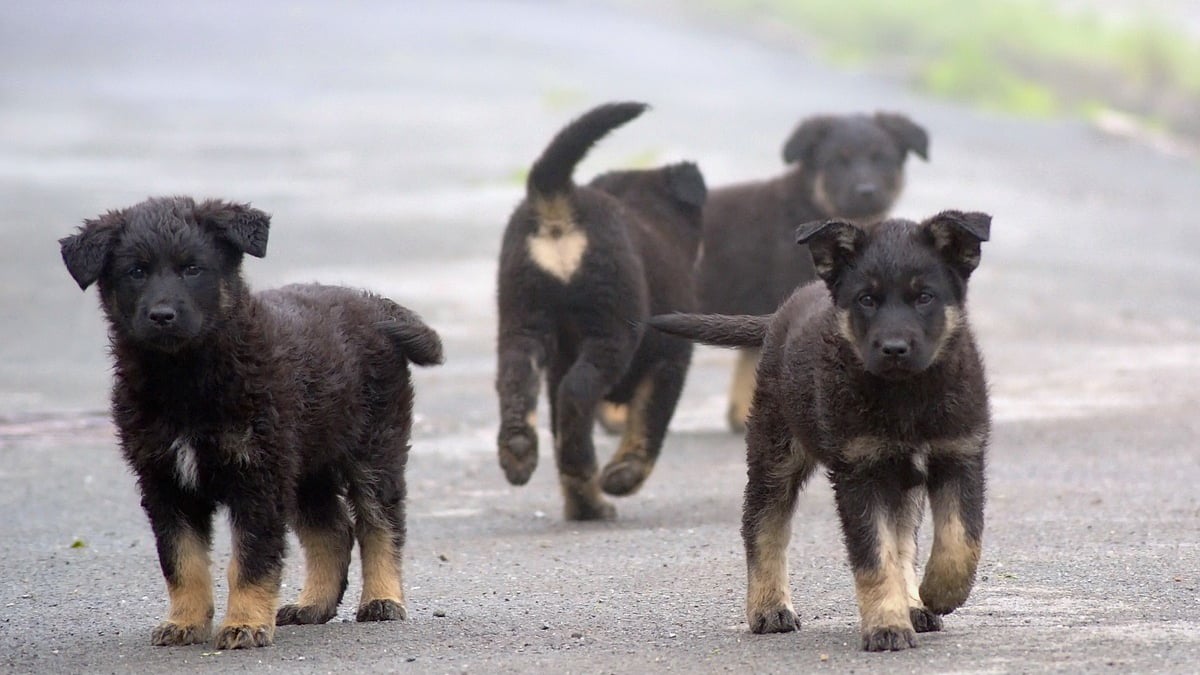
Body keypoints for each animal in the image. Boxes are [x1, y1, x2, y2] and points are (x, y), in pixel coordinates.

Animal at [56, 196, 441, 648]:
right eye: (135, 272)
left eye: (193, 268)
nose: (162, 315)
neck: (185, 379)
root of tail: (376, 305)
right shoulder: (164, 481)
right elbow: (181, 561)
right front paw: (185, 622)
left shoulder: (257, 475)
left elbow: (251, 560)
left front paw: (245, 623)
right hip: (306, 465)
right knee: (333, 530)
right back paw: (313, 605)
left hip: (374, 448)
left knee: (380, 524)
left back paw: (382, 599)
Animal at [494, 100, 705, 521]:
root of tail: (559, 200)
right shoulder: (671, 359)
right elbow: (649, 425)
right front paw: (622, 477)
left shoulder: (557, 362)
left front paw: (585, 506)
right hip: (611, 329)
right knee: (578, 392)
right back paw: (582, 464)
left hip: (522, 318)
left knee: (518, 378)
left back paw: (519, 450)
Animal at [652, 211, 988, 653]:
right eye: (866, 299)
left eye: (924, 297)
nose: (894, 348)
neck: (907, 397)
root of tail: (779, 314)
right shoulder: (859, 473)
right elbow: (874, 557)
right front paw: (887, 626)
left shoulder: (961, 455)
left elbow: (959, 539)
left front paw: (936, 593)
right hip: (775, 452)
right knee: (763, 525)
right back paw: (769, 608)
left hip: (899, 483)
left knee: (904, 541)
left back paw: (914, 603)